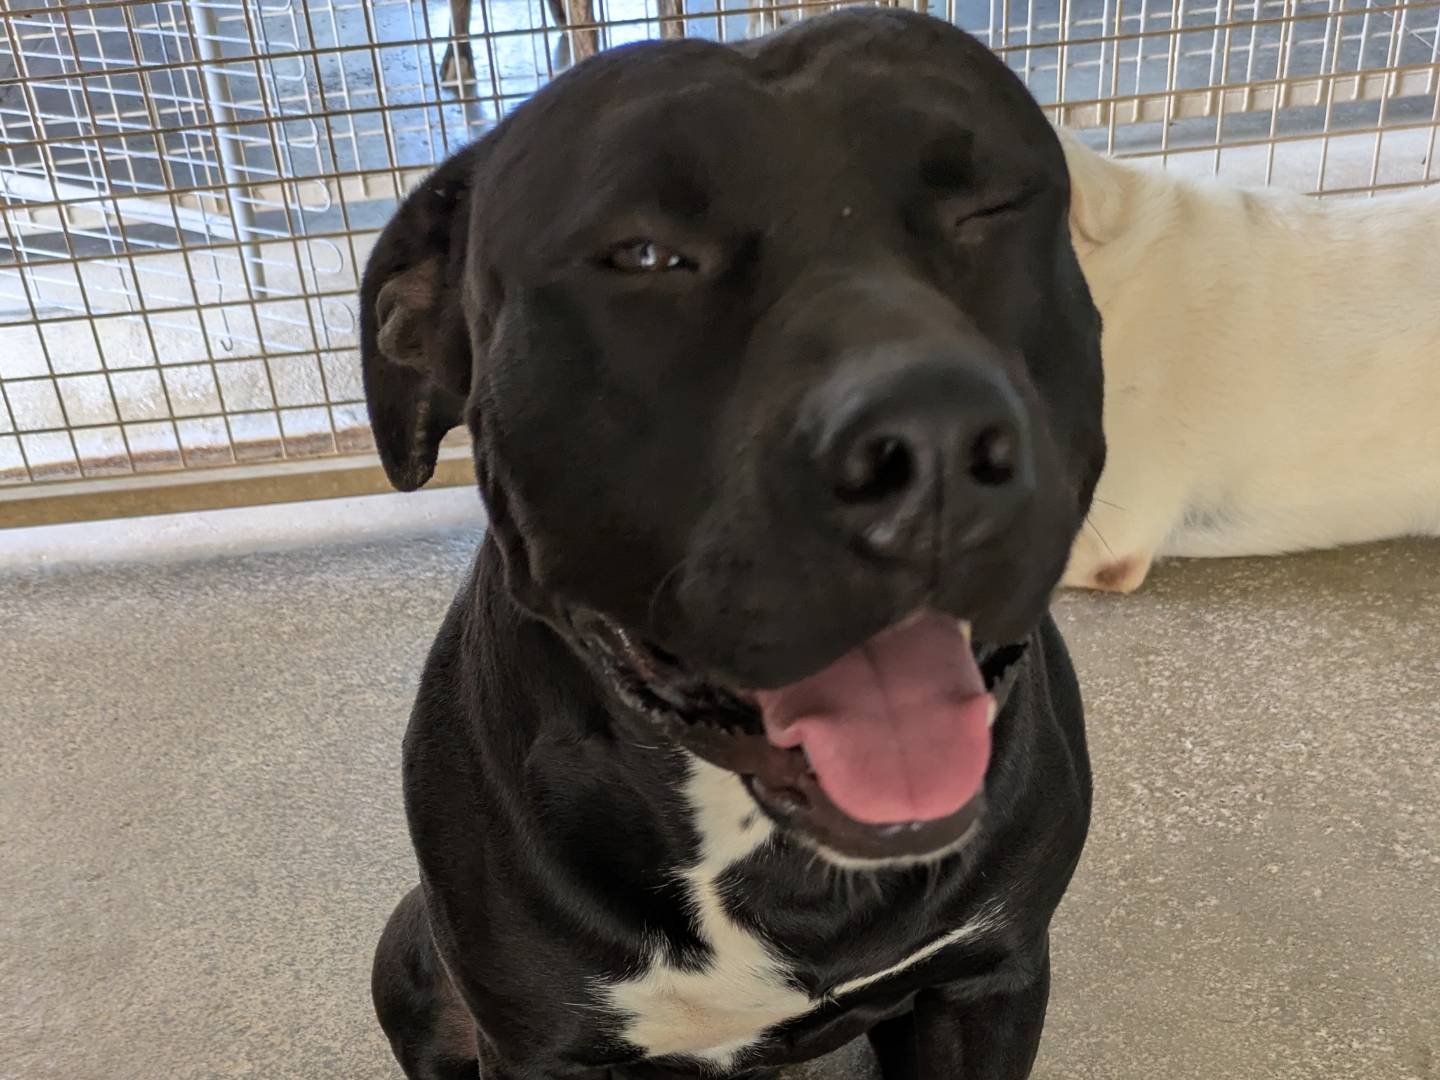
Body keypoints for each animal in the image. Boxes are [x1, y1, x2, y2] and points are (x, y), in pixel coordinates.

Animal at [363, 11, 1105, 1078]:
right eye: (641, 255)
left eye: (993, 206)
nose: (930, 443)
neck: (770, 844)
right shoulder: (541, 1043)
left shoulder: (990, 980)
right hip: (407, 954)